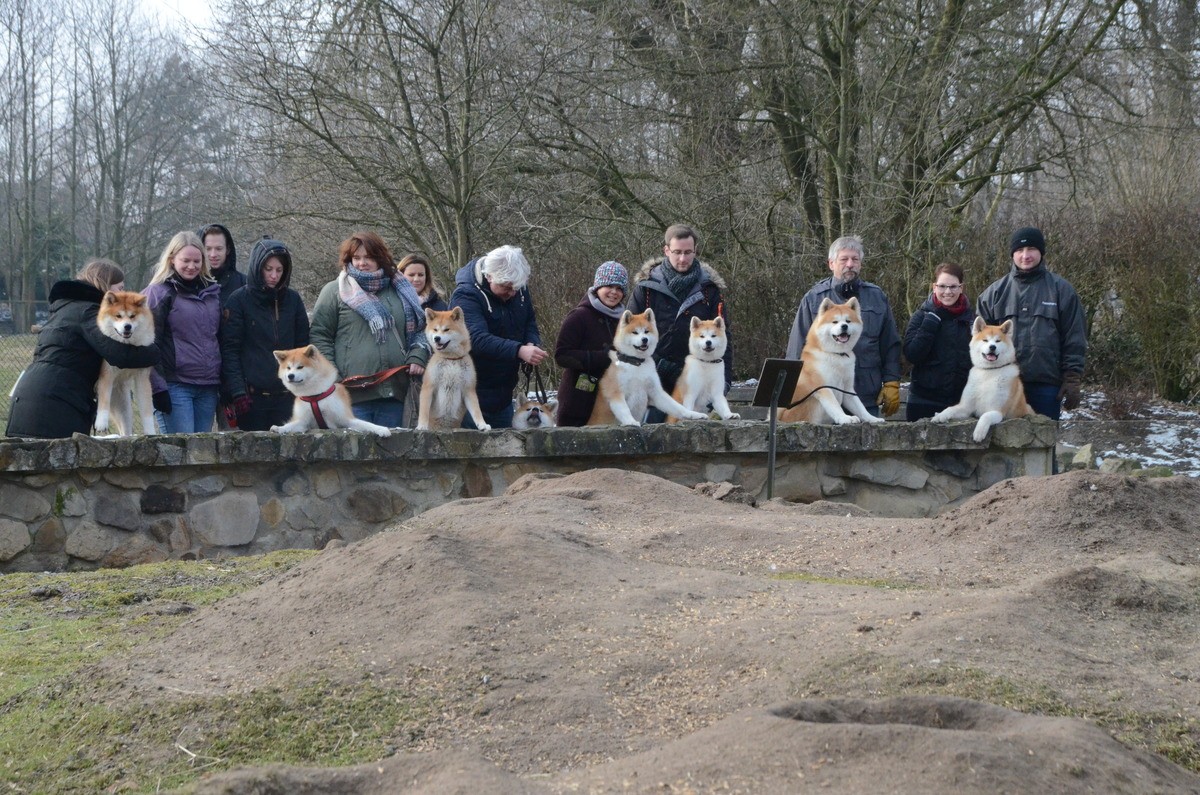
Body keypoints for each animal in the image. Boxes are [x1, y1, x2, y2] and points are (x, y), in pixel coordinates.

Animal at [94, 291, 156, 436]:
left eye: (132, 316)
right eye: (118, 316)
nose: (127, 326)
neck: (128, 345)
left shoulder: (142, 378)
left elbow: (147, 411)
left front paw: (150, 433)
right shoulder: (106, 374)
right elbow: (104, 401)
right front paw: (101, 424)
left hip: (124, 409)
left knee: (125, 430)